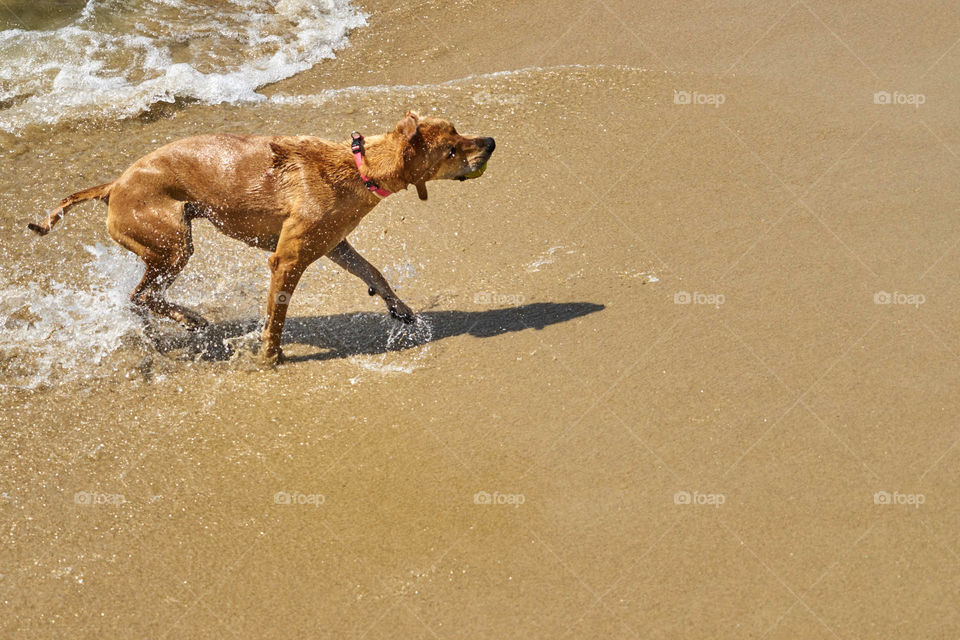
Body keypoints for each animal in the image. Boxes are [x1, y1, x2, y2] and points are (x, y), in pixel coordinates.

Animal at [30, 112, 496, 362]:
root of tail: (113, 186)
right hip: (173, 243)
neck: (359, 168)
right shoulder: (288, 259)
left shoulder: (334, 245)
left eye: (457, 129)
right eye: (450, 150)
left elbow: (374, 273)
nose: (491, 141)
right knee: (141, 295)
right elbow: (276, 316)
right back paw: (188, 319)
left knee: (143, 297)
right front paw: (269, 358)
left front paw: (401, 309)